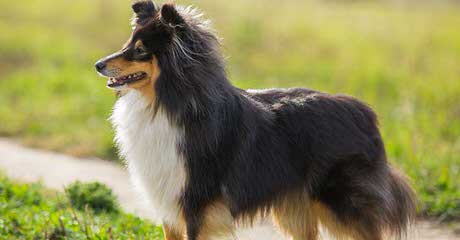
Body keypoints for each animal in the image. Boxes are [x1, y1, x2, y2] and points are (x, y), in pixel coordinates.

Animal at [94, 0, 416, 239]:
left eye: (140, 51)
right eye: (127, 44)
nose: (97, 64)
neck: (165, 103)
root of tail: (366, 113)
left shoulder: (197, 202)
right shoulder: (170, 204)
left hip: (341, 203)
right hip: (296, 210)